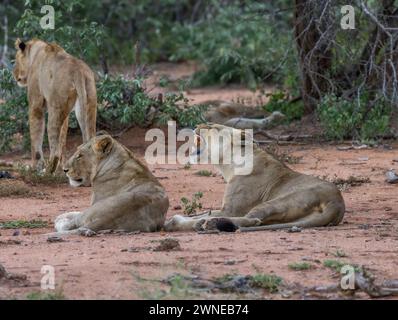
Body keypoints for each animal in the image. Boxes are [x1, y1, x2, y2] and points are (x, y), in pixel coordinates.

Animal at [12, 38, 97, 174]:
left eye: (15, 60)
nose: (14, 74)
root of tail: (77, 70)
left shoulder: (36, 105)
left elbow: (35, 138)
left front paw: (35, 167)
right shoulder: (66, 113)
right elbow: (62, 139)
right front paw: (61, 170)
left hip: (54, 111)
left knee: (55, 149)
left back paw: (46, 172)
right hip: (87, 105)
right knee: (89, 138)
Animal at [165, 123, 346, 232]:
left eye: (213, 127)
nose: (196, 126)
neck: (228, 164)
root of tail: (337, 203)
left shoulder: (231, 209)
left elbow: (206, 214)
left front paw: (175, 221)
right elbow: (200, 212)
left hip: (279, 201)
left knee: (252, 219)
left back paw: (204, 224)